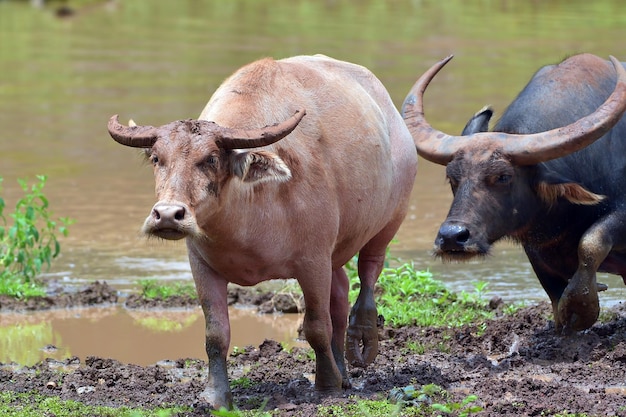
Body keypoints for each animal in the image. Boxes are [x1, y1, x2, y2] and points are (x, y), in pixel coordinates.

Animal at [106, 53, 416, 408]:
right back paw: (344, 372)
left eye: (210, 159)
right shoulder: (201, 265)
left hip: (391, 220)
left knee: (367, 274)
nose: (168, 215)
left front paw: (326, 385)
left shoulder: (313, 262)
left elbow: (316, 326)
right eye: (158, 158)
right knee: (340, 293)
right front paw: (216, 396)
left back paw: (360, 340)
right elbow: (216, 334)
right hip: (335, 253)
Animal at [400, 54, 624, 334]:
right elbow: (555, 296)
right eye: (452, 178)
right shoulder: (537, 248)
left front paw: (580, 309)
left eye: (503, 176)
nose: (452, 237)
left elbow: (592, 241)